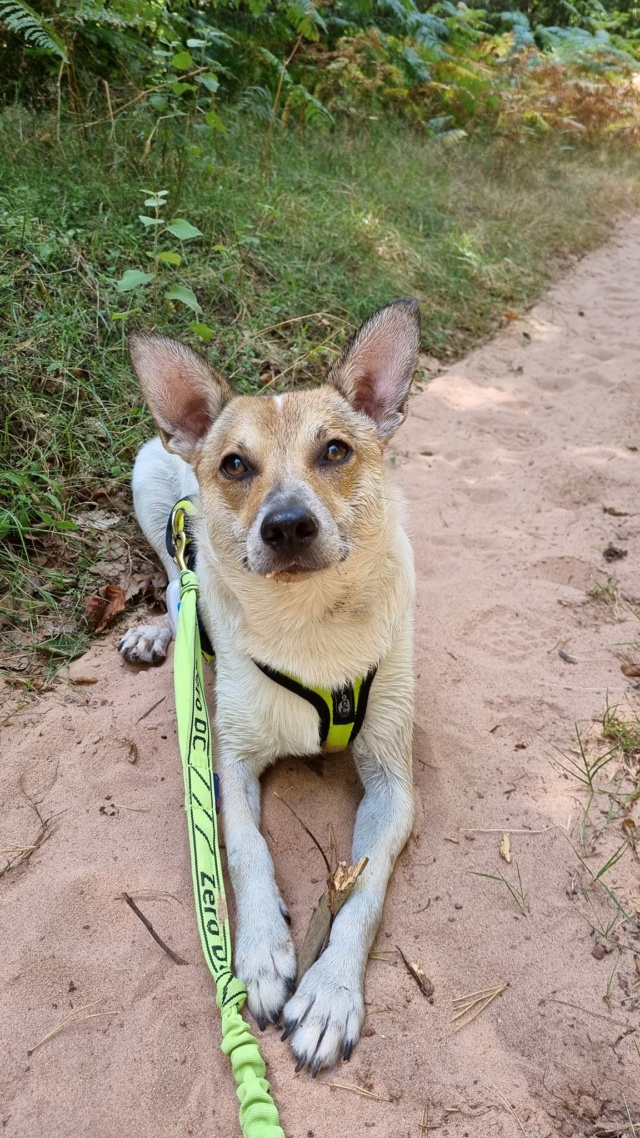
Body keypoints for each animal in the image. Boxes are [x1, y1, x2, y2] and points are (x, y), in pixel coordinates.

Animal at [119, 295, 419, 1074]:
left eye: (335, 451)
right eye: (235, 464)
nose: (286, 526)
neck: (309, 623)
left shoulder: (393, 780)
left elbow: (364, 886)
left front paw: (330, 995)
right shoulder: (226, 758)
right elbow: (245, 845)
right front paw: (258, 954)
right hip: (149, 478)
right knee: (177, 582)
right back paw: (161, 630)